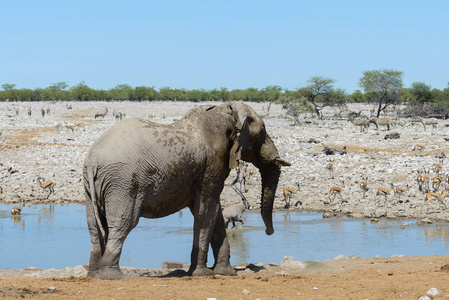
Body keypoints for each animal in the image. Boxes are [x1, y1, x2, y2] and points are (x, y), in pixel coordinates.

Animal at [82, 100, 288, 278]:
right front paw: (202, 274)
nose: (269, 232)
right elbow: (206, 211)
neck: (222, 111)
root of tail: (93, 160)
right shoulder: (212, 165)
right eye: (262, 132)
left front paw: (226, 273)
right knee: (123, 223)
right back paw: (112, 276)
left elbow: (215, 213)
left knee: (94, 226)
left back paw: (94, 274)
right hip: (123, 182)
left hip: (93, 186)